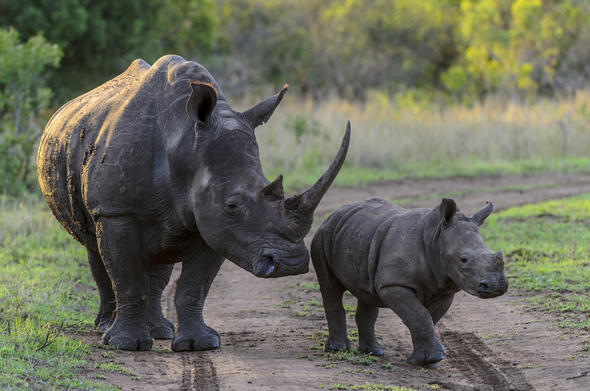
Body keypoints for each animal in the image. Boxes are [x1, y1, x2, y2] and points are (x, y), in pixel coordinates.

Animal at [39, 54, 352, 352]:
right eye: (232, 206)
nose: (290, 263)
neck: (184, 142)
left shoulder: (215, 225)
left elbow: (194, 286)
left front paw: (198, 345)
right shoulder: (117, 212)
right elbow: (127, 279)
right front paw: (125, 345)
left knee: (159, 262)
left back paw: (160, 331)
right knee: (95, 249)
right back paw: (106, 328)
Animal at [312, 199, 512, 368]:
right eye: (463, 259)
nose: (497, 286)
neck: (436, 238)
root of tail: (335, 212)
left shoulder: (444, 289)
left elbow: (428, 318)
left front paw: (426, 362)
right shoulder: (394, 284)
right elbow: (419, 315)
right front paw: (433, 359)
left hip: (360, 237)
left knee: (367, 293)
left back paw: (374, 352)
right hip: (323, 235)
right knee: (330, 287)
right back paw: (338, 349)